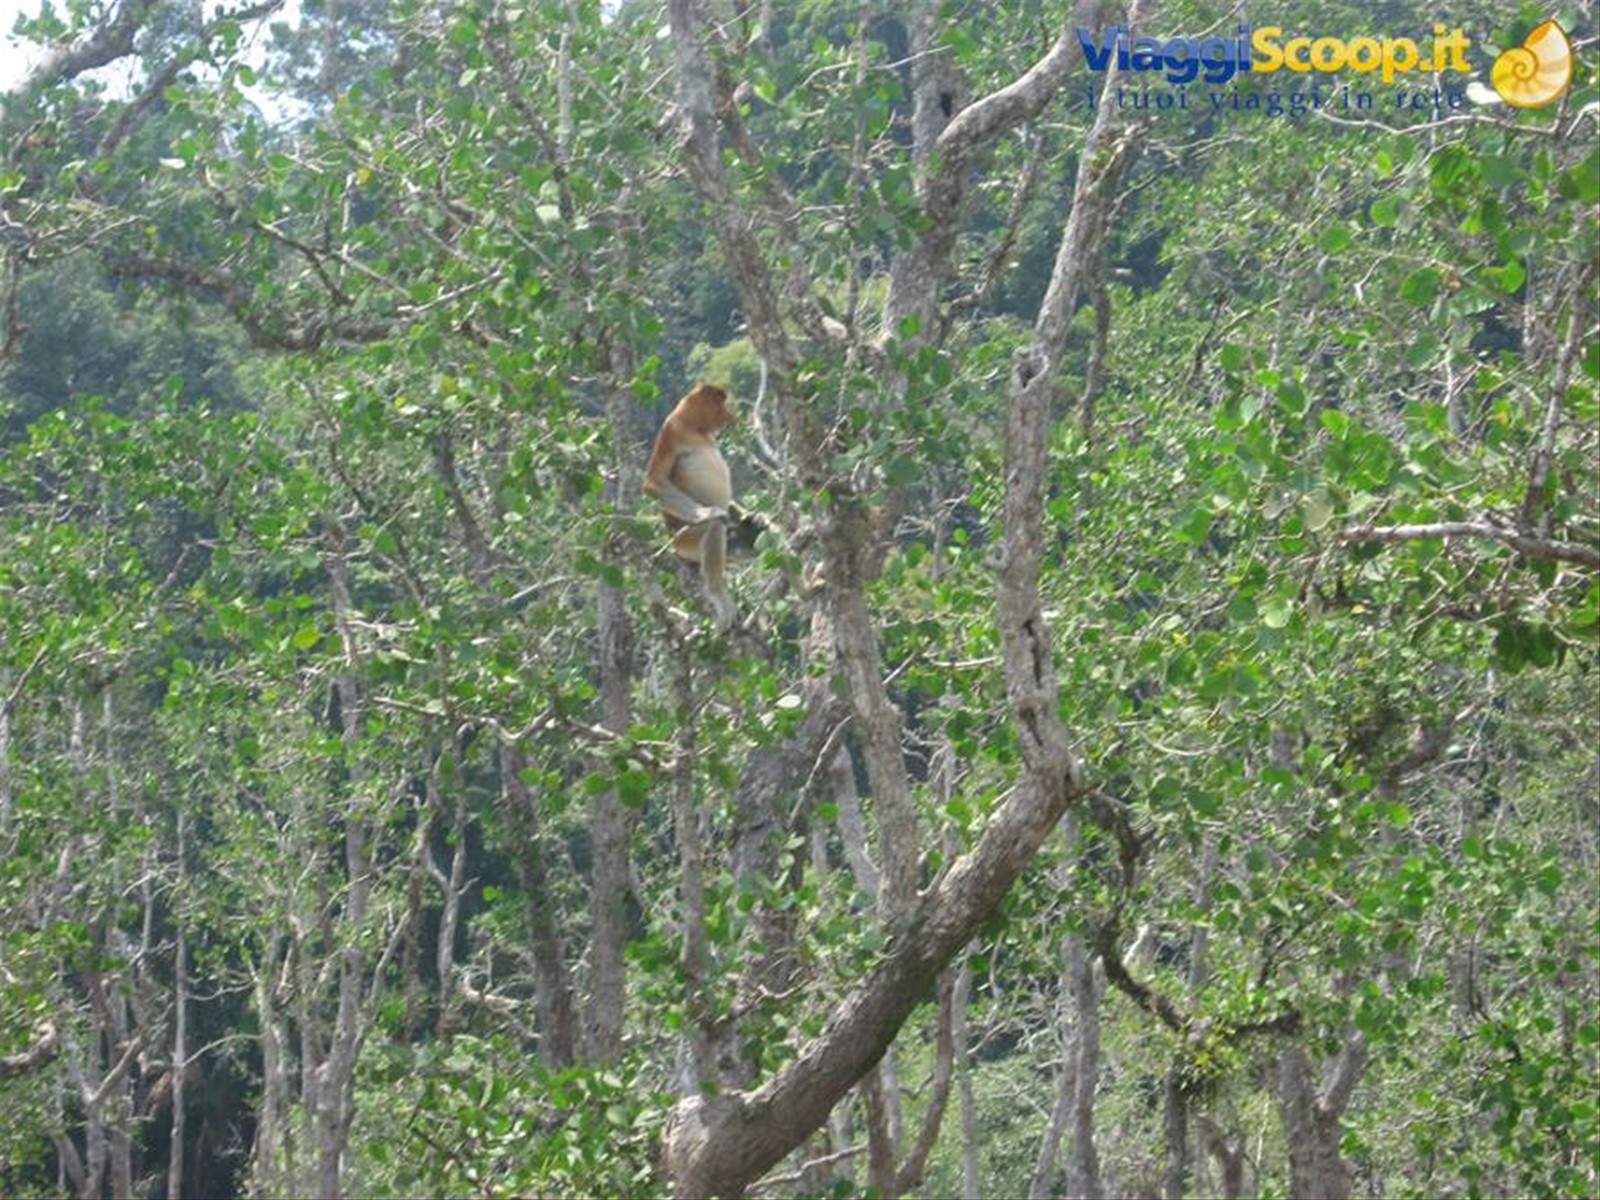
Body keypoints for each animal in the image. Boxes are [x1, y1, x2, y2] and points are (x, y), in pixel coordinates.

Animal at [644, 383, 738, 630]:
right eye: (722, 404)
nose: (729, 416)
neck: (695, 428)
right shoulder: (672, 430)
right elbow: (655, 481)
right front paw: (709, 512)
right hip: (685, 541)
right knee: (715, 529)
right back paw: (718, 596)